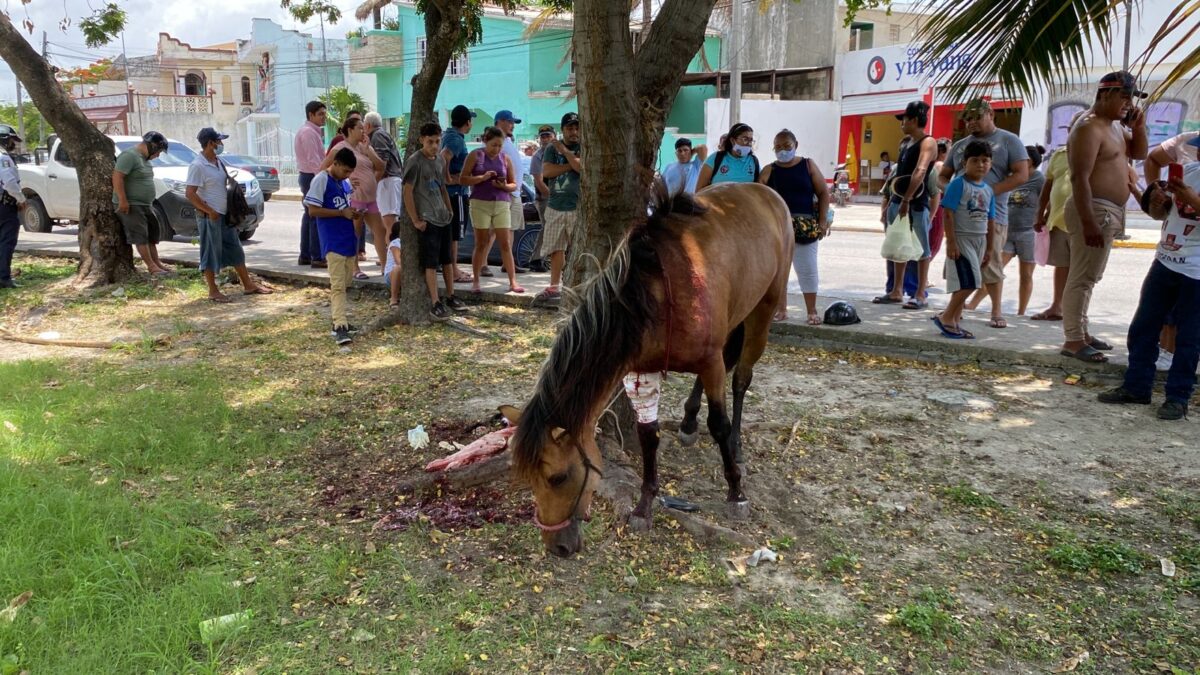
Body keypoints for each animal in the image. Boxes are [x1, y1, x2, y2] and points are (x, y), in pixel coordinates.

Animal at [505, 182, 793, 557]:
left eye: (558, 477)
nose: (558, 548)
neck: (651, 294)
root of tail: (767, 192)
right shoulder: (639, 373)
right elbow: (648, 435)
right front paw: (644, 504)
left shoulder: (709, 360)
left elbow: (718, 423)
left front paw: (736, 491)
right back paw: (688, 423)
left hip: (763, 311)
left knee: (741, 379)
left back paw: (736, 445)